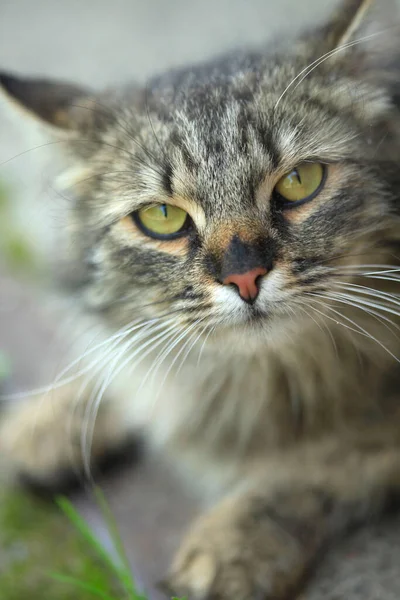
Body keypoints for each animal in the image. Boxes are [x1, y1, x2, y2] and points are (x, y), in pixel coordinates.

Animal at [0, 0, 400, 596]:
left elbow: (317, 463)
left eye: (300, 181)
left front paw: (231, 542)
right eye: (162, 217)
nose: (246, 277)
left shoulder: (369, 433)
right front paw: (51, 418)